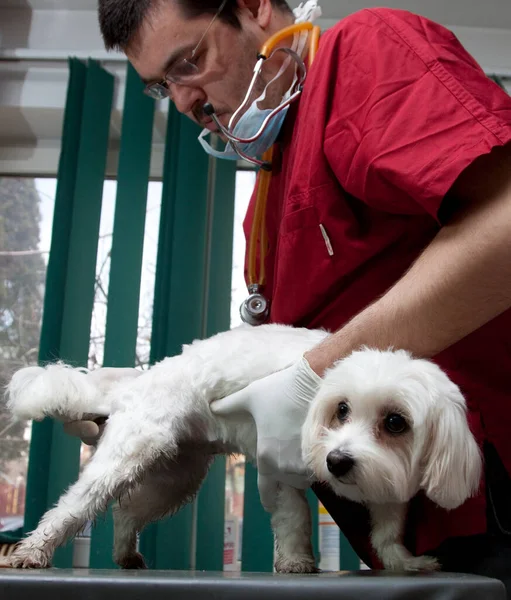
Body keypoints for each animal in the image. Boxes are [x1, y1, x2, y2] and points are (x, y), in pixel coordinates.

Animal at [5, 324, 484, 572]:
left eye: (395, 422)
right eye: (341, 410)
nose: (337, 462)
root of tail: (141, 381)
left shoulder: (389, 482)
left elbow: (386, 529)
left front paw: (403, 561)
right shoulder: (279, 467)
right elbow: (294, 518)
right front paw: (296, 560)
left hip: (176, 476)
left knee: (128, 511)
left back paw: (125, 552)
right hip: (132, 450)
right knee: (75, 504)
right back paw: (32, 551)